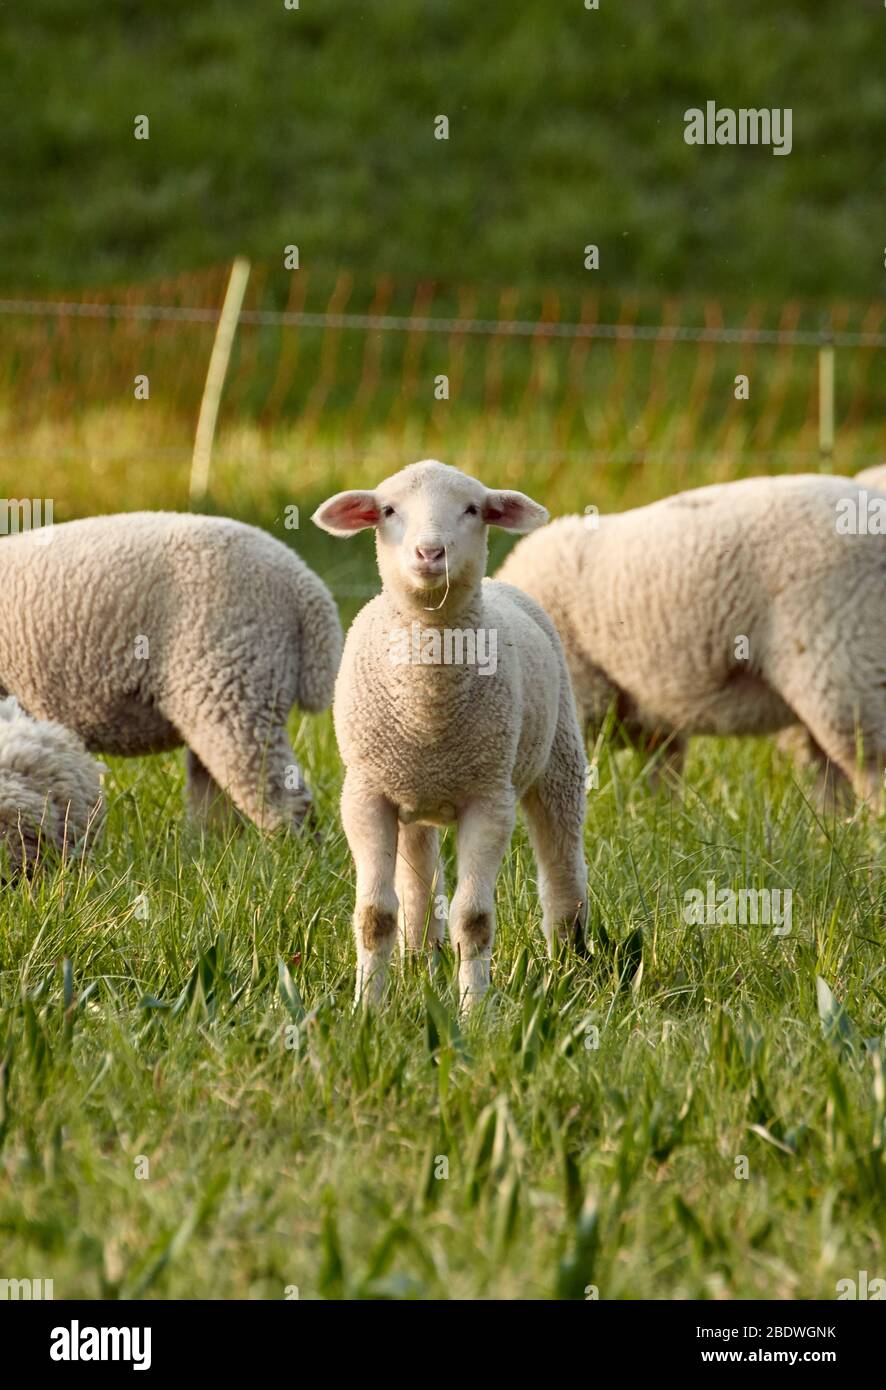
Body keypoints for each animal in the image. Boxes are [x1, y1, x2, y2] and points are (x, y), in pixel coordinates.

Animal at [311, 461, 586, 1006]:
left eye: (472, 509)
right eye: (388, 510)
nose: (429, 553)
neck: (428, 708)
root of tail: (501, 583)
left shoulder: (489, 800)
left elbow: (474, 919)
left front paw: (475, 1009)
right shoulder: (367, 796)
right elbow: (375, 916)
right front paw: (367, 1009)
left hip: (559, 759)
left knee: (564, 867)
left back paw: (572, 964)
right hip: (413, 791)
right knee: (418, 882)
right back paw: (419, 959)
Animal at [495, 475, 884, 806]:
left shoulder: (578, 696)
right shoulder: (652, 720)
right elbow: (661, 776)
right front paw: (656, 819)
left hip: (847, 665)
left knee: (870, 764)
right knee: (828, 771)